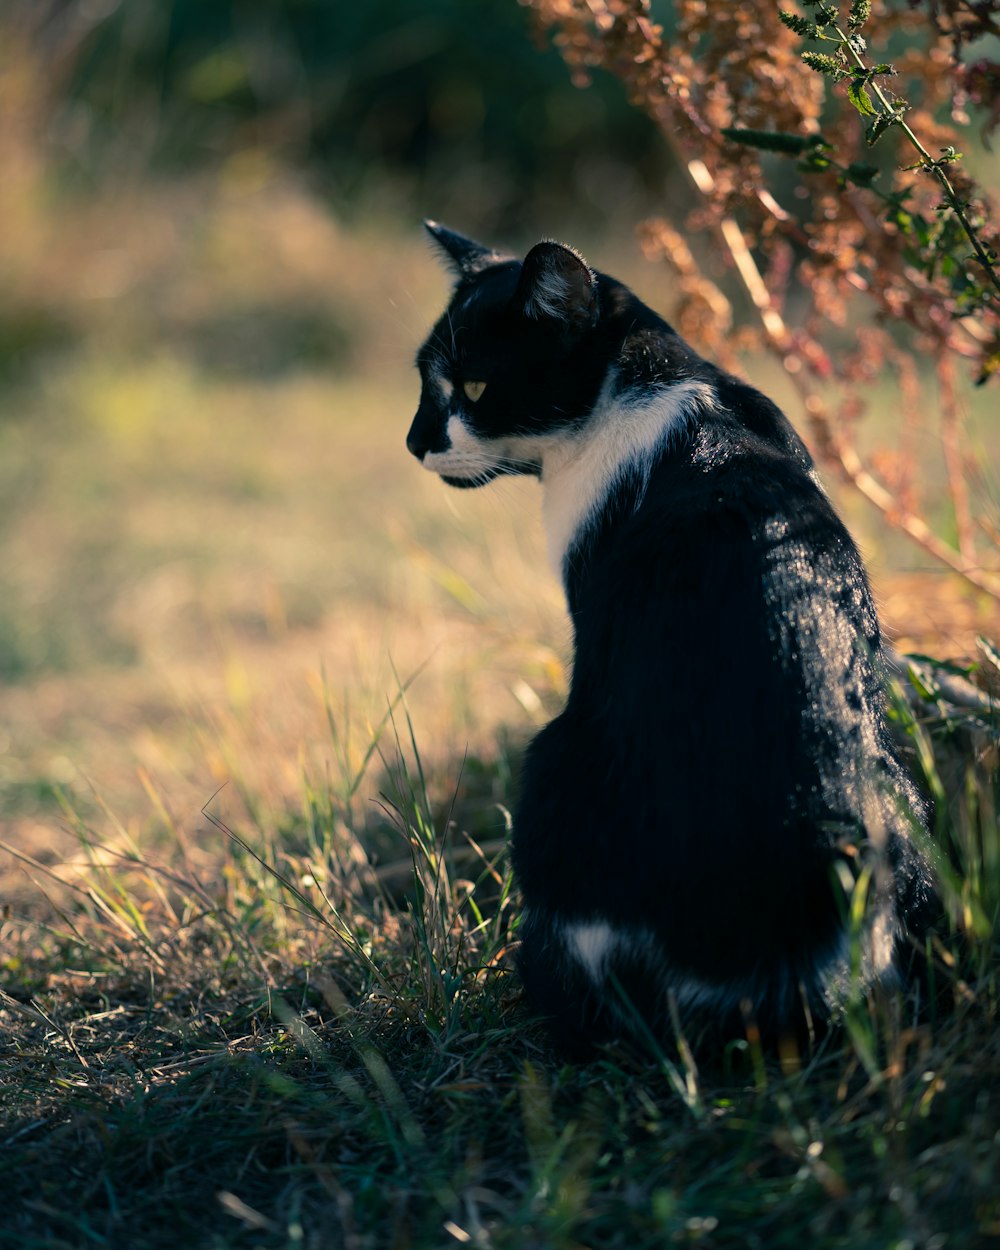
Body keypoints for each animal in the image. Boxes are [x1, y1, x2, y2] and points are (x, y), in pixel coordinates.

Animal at [402, 217, 935, 1055]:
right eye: (424, 382)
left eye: (477, 390)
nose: (414, 441)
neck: (653, 382)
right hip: (904, 801)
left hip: (551, 761)